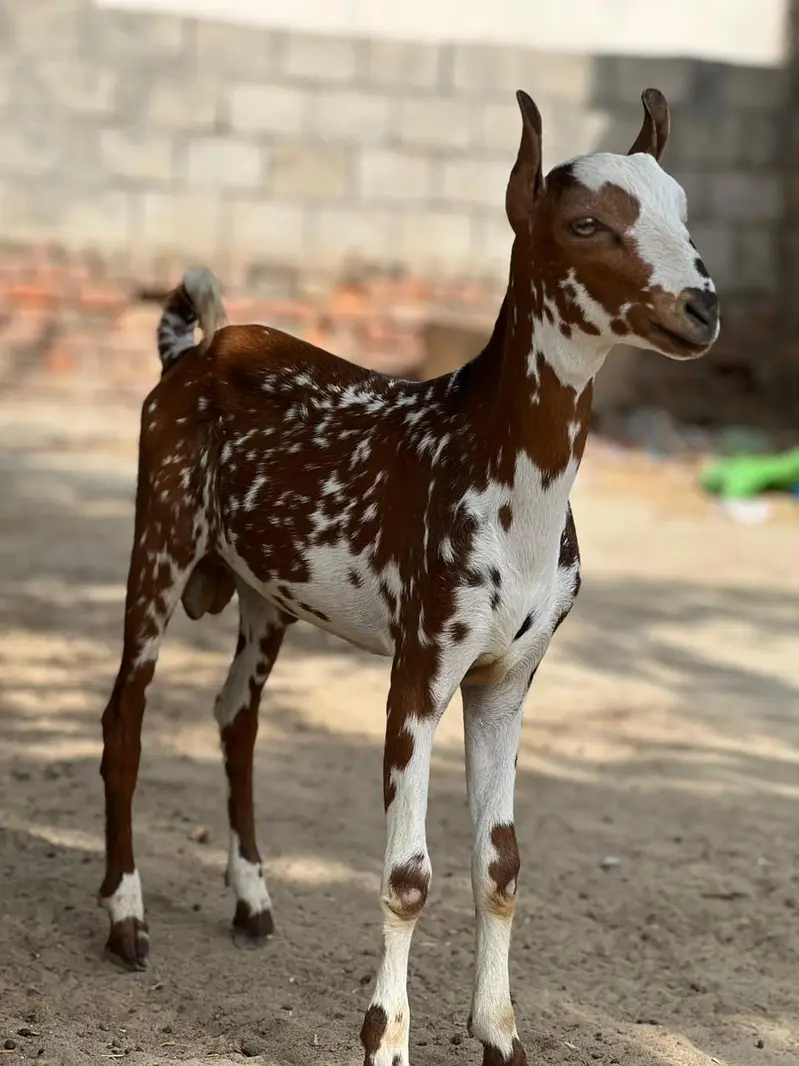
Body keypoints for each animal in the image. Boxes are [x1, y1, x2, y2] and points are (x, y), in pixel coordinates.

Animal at [98, 88, 719, 1066]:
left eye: (681, 210)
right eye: (586, 223)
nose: (701, 307)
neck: (498, 471)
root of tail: (193, 352)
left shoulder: (506, 678)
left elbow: (500, 865)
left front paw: (499, 1032)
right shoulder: (421, 668)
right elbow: (406, 874)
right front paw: (384, 1036)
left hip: (266, 594)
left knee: (236, 714)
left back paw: (251, 896)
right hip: (160, 544)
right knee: (126, 716)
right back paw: (126, 918)